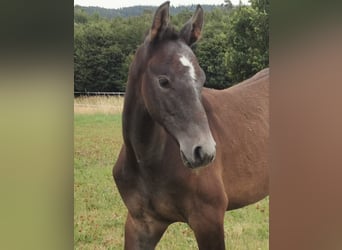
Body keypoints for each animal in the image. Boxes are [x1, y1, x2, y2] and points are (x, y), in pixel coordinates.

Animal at [113, 1, 268, 248]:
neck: (148, 161)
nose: (203, 151)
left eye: (202, 79)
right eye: (163, 81)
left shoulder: (208, 219)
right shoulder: (141, 223)